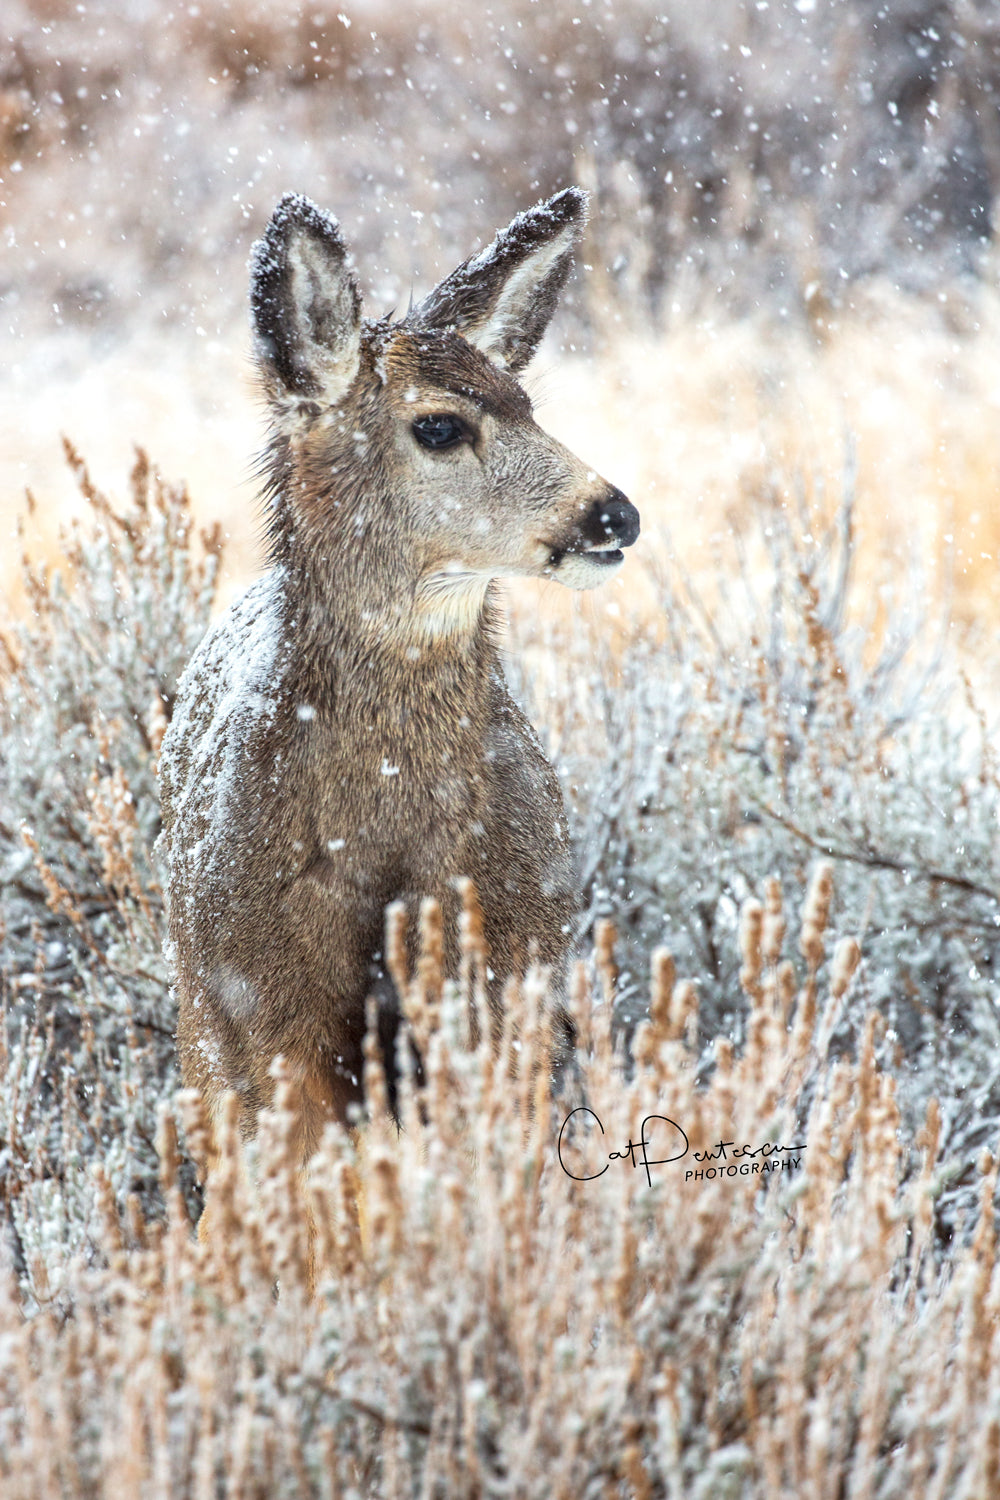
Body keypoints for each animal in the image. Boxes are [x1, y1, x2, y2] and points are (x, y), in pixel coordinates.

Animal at [159, 184, 638, 1158]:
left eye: (529, 403)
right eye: (441, 425)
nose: (615, 515)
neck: (383, 849)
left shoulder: (507, 983)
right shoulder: (256, 1013)